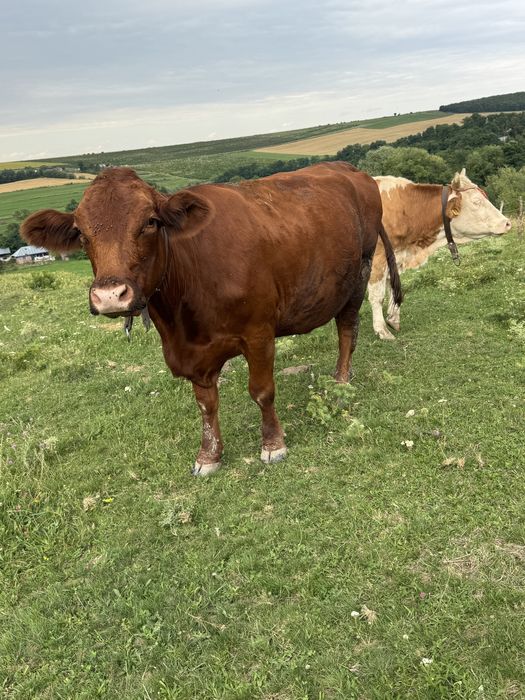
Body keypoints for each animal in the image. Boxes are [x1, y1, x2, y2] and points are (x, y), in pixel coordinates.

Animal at [21, 162, 402, 475]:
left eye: (150, 222)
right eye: (81, 233)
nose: (111, 295)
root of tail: (348, 168)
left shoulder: (259, 333)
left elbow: (262, 391)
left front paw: (273, 445)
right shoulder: (192, 354)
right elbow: (206, 405)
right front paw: (209, 456)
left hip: (358, 272)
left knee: (347, 328)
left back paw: (341, 379)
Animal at [369, 168, 511, 340]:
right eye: (476, 201)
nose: (507, 223)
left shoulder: (394, 256)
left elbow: (394, 285)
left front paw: (393, 318)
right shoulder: (378, 258)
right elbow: (377, 295)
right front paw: (382, 330)